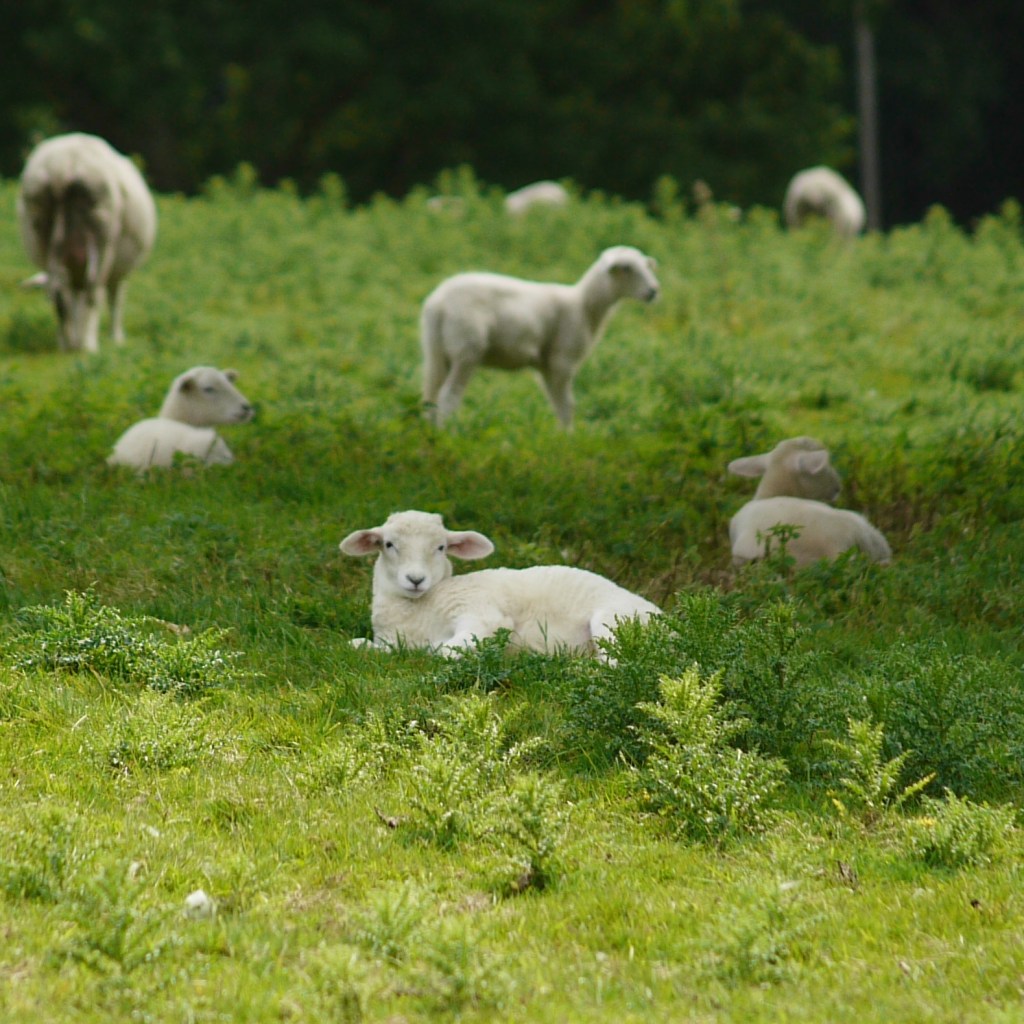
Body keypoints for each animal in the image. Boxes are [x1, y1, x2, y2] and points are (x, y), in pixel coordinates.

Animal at [17, 132, 158, 353]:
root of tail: (63, 167)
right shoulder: (118, 272)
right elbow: (115, 298)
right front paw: (116, 338)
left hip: (42, 230)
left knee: (60, 290)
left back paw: (67, 343)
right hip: (102, 234)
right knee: (93, 292)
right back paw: (87, 344)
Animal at [340, 510, 661, 658]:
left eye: (441, 547)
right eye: (389, 544)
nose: (416, 579)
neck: (417, 609)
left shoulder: (481, 613)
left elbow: (445, 650)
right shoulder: (388, 642)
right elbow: (356, 645)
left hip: (614, 622)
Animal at [421, 246, 660, 428]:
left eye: (646, 266)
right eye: (627, 268)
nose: (654, 291)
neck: (584, 305)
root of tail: (438, 303)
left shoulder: (545, 366)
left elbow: (557, 404)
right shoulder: (562, 360)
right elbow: (567, 405)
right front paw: (568, 439)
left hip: (437, 350)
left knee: (431, 395)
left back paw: (432, 433)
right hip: (467, 349)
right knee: (449, 396)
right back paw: (448, 433)